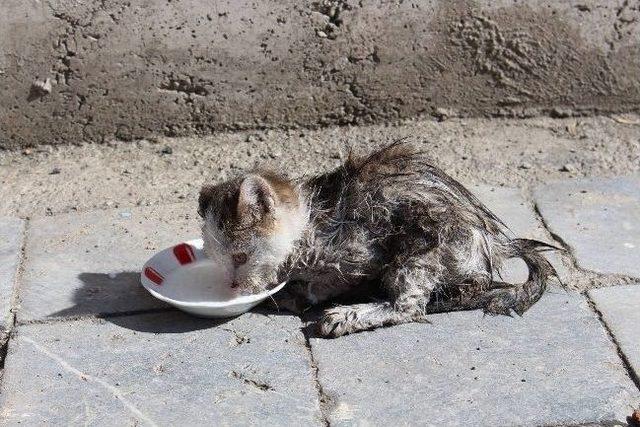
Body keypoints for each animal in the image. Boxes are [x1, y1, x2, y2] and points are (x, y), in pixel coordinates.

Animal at [198, 142, 556, 340]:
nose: (232, 287)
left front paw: (294, 294)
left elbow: (327, 283)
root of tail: (494, 245)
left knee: (410, 306)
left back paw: (346, 317)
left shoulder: (361, 250)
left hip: (424, 238)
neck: (309, 223)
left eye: (241, 257)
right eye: (219, 260)